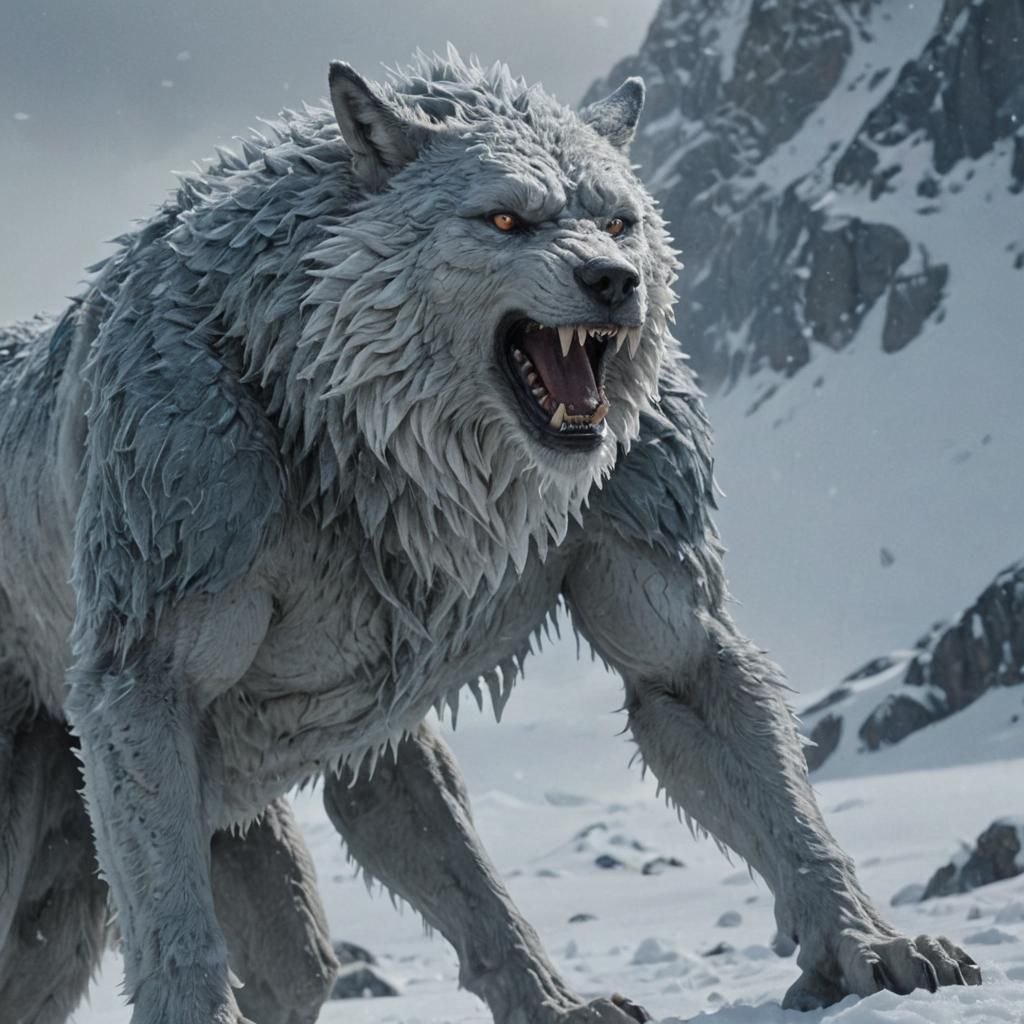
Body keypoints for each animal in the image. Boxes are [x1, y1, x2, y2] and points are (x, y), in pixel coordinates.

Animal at [0, 50, 979, 1024]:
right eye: (507, 218)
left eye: (618, 221)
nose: (614, 280)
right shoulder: (153, 632)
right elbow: (176, 920)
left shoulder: (658, 572)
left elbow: (737, 744)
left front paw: (867, 946)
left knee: (329, 945)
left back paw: (556, 1003)